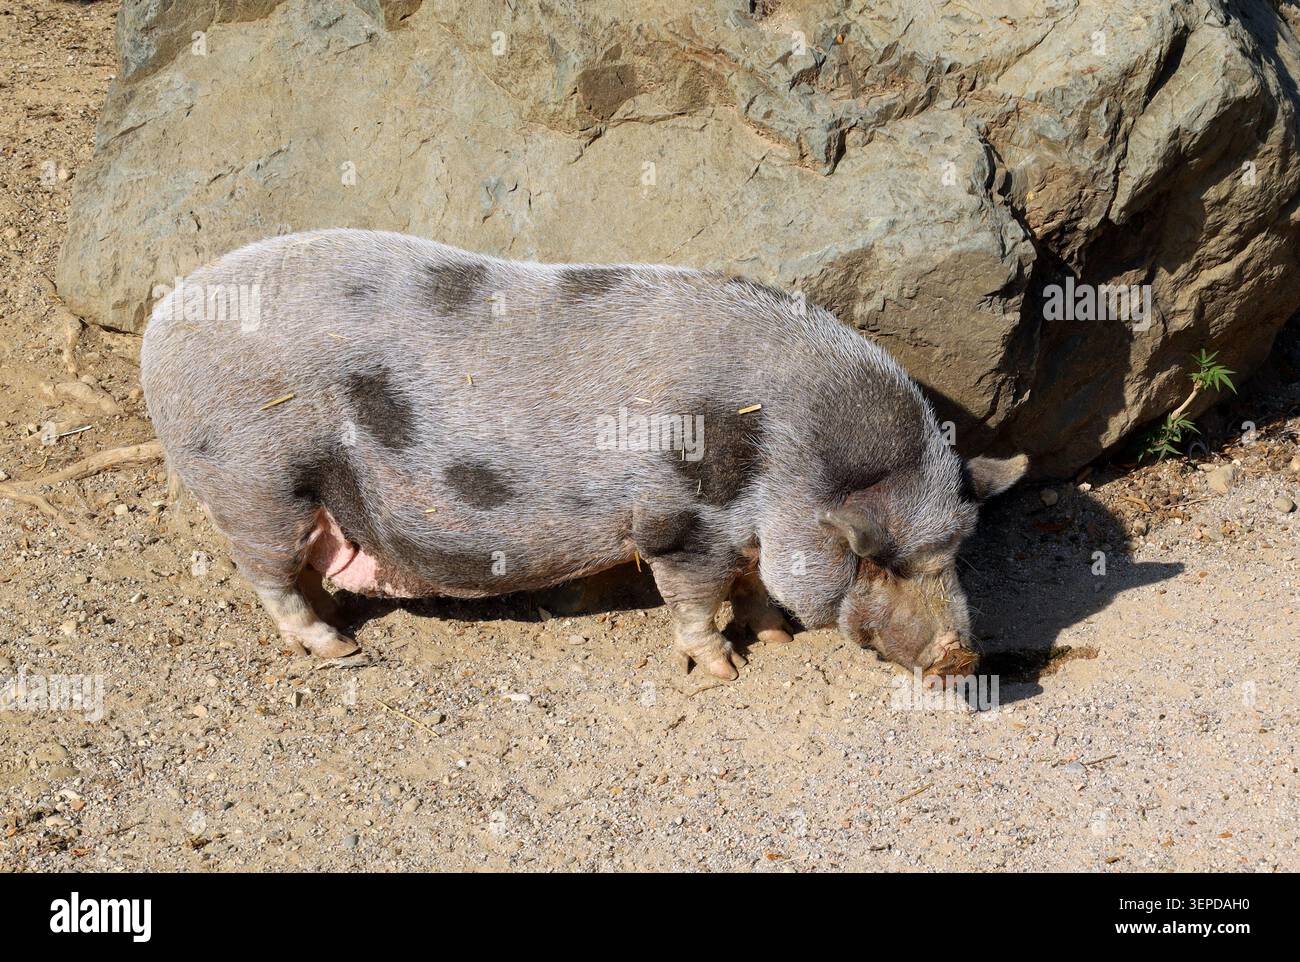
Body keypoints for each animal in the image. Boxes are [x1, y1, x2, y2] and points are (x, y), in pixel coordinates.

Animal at [140, 228, 1027, 680]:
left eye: (956, 548)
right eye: (873, 556)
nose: (962, 654)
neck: (785, 457)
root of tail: (162, 324)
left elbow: (754, 584)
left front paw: (774, 638)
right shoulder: (680, 524)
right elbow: (695, 598)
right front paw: (726, 670)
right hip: (254, 480)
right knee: (267, 574)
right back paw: (339, 649)